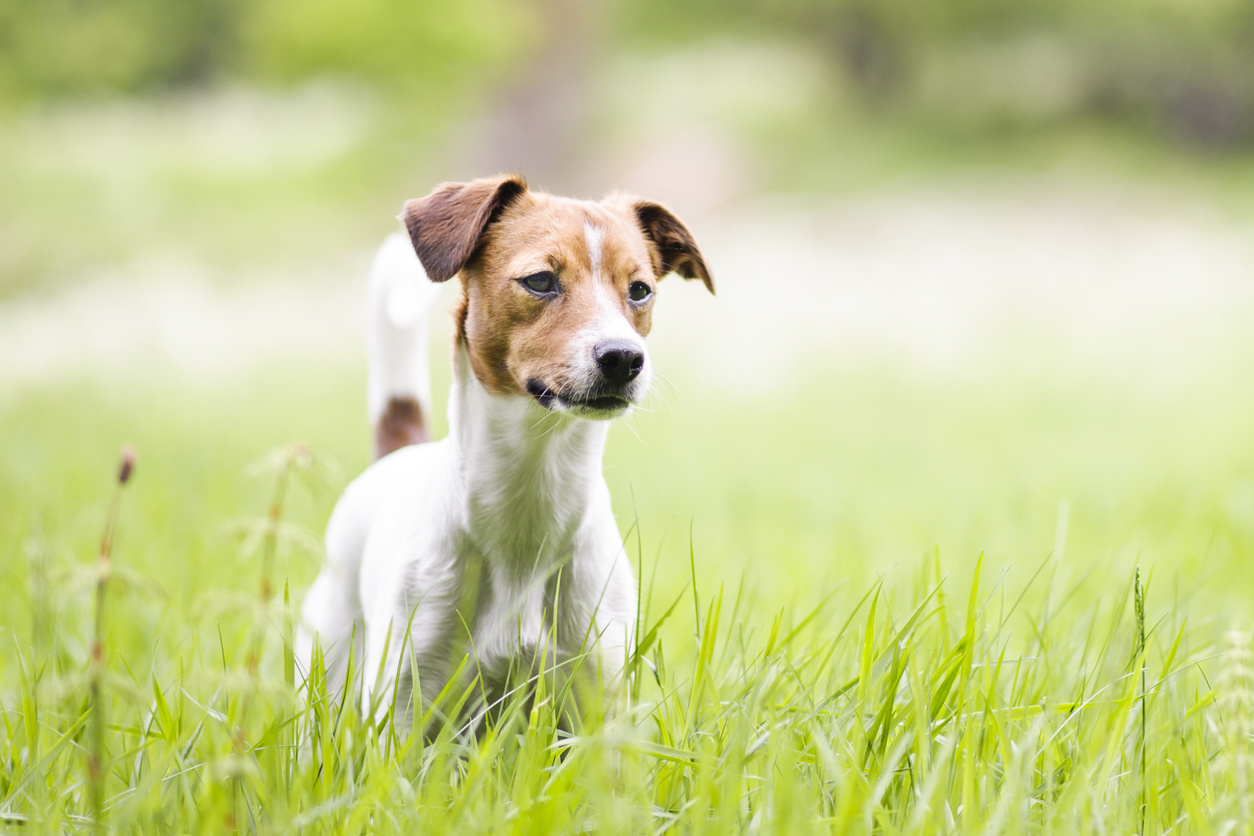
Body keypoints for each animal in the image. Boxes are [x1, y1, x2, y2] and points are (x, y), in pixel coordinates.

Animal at [288, 172, 712, 726]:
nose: (624, 357)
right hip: (329, 657)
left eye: (640, 290)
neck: (530, 501)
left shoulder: (598, 698)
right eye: (540, 281)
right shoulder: (405, 702)